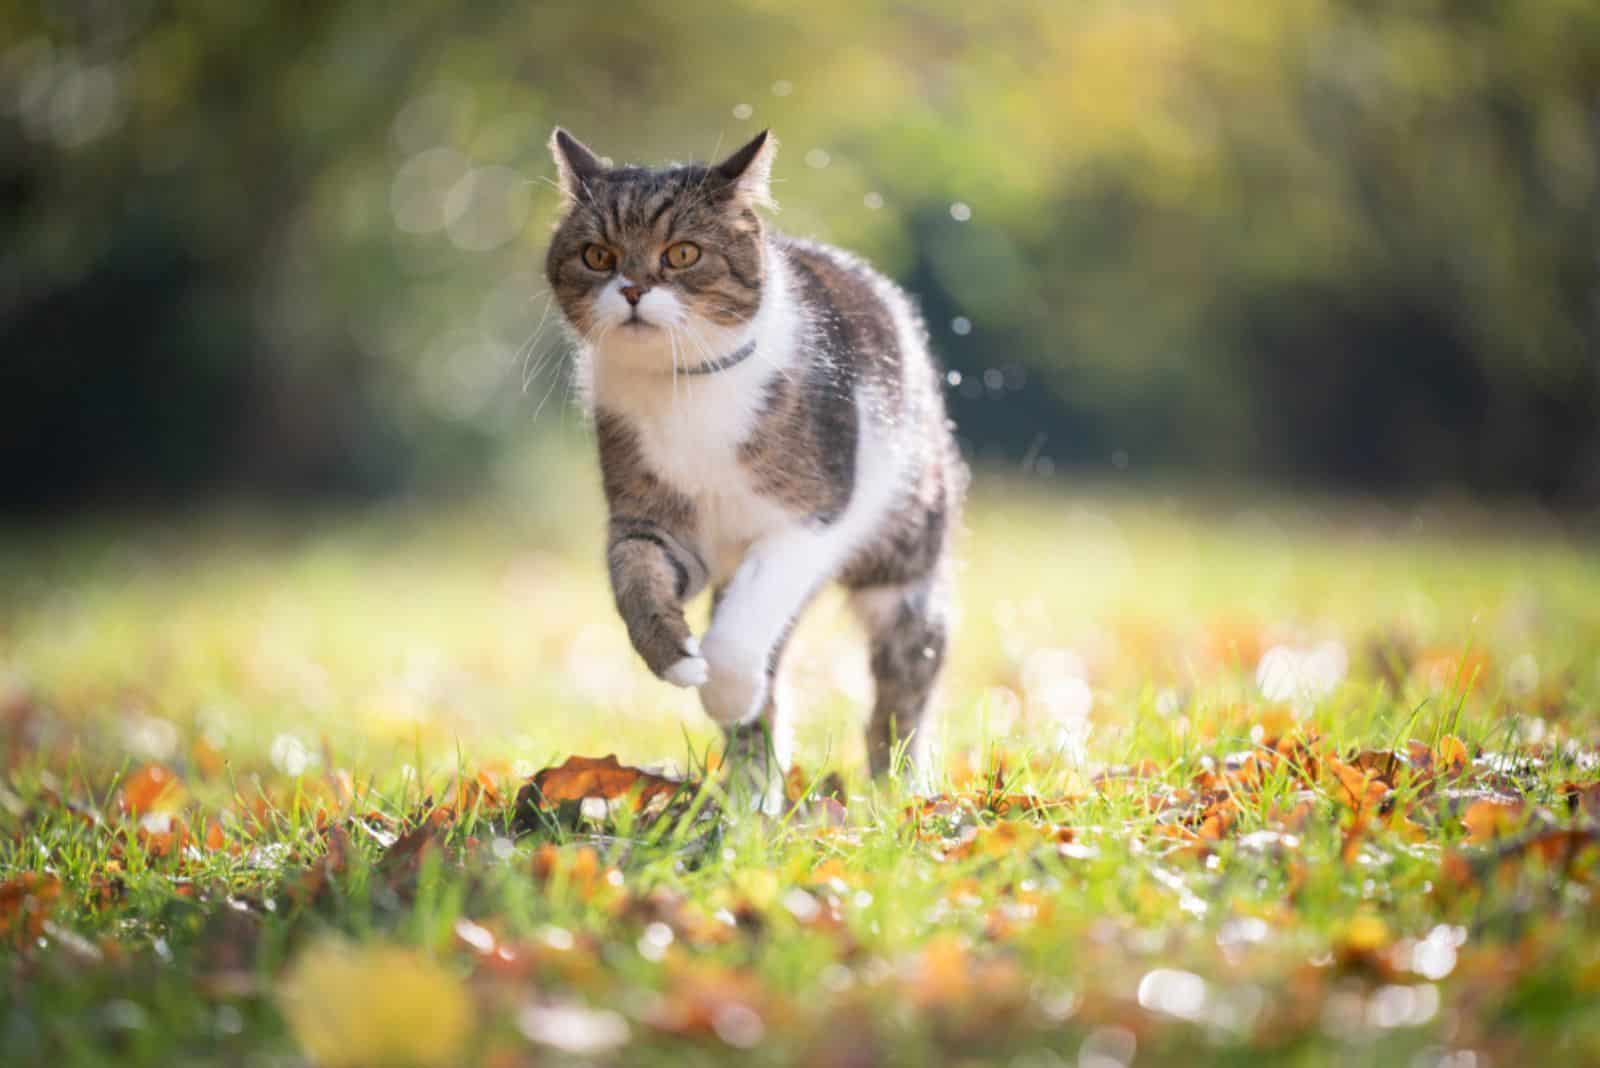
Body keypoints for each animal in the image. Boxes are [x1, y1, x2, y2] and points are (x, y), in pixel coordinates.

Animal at [544, 129, 960, 799]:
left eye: (683, 253)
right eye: (598, 255)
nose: (632, 289)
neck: (685, 388)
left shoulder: (810, 516)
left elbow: (744, 629)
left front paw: (727, 690)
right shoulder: (651, 520)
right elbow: (635, 579)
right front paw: (678, 658)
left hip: (905, 553)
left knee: (907, 676)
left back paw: (895, 784)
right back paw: (752, 791)